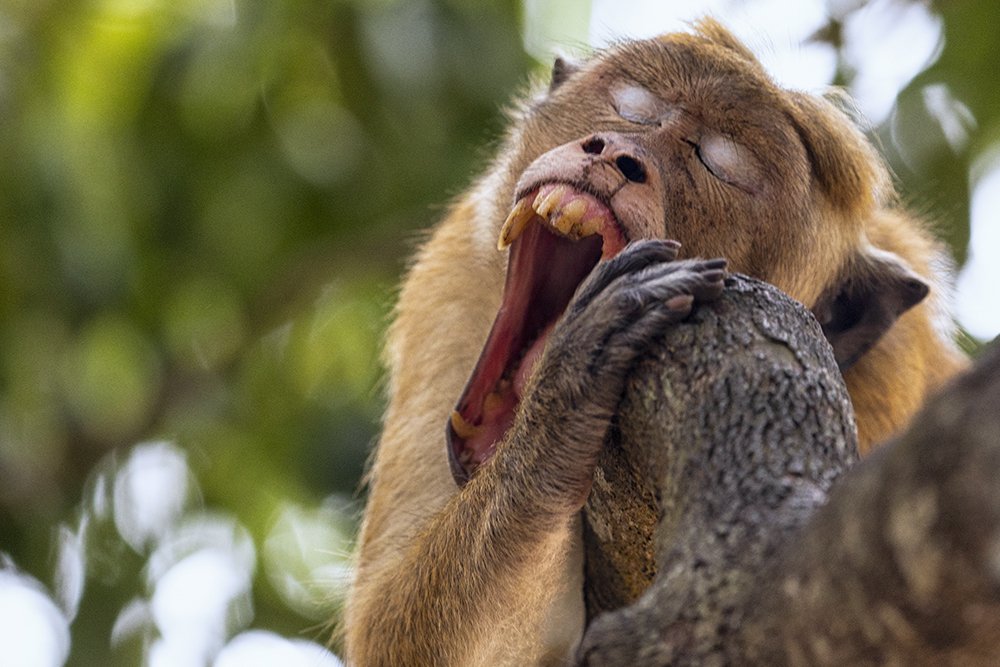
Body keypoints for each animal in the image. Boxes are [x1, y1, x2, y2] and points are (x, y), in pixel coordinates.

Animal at [343, 19, 967, 667]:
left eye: (717, 165)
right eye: (635, 110)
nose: (619, 155)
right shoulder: (450, 282)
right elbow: (388, 631)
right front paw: (566, 399)